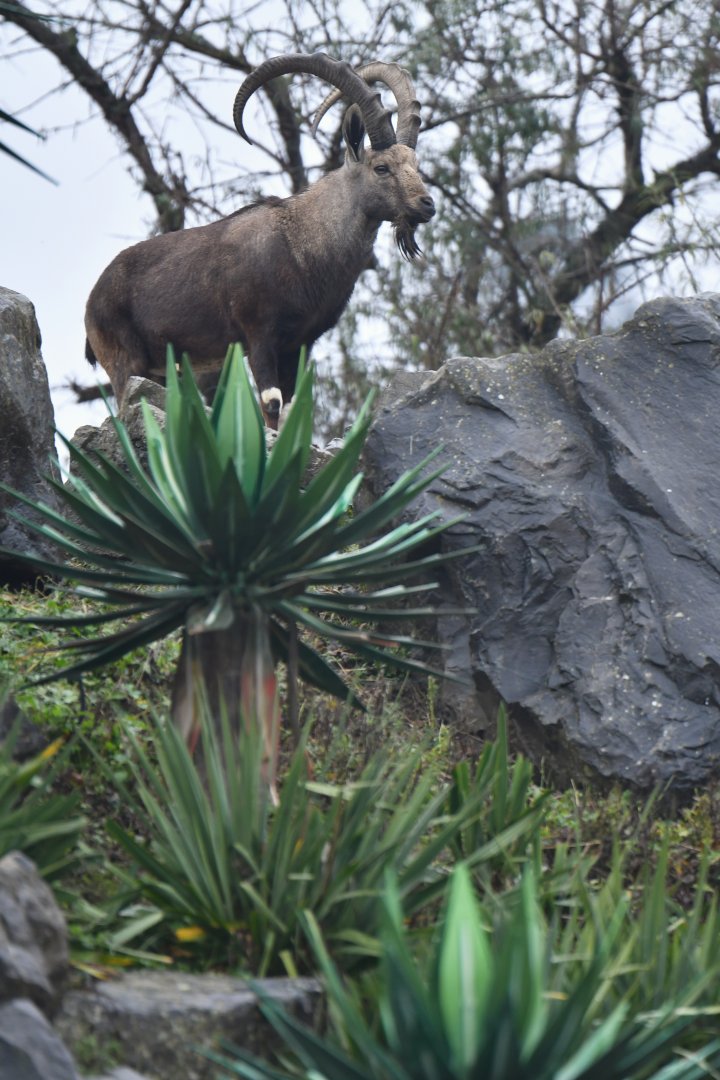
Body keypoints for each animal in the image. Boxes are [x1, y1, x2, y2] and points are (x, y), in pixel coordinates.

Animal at [84, 53, 435, 427]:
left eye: (415, 164)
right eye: (381, 167)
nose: (427, 204)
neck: (304, 244)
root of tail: (92, 301)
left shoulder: (299, 344)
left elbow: (292, 404)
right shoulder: (259, 336)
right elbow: (272, 402)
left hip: (159, 370)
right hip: (124, 359)